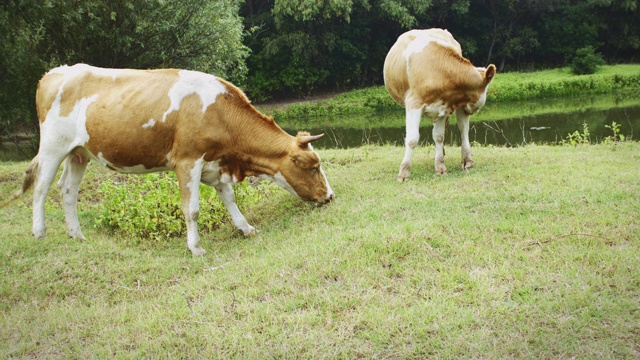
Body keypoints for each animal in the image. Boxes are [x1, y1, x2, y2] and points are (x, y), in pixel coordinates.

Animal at [2, 64, 336, 256]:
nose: (330, 196)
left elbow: (229, 198)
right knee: (41, 188)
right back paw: (39, 233)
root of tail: (53, 73)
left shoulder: (215, 162)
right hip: (52, 145)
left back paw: (77, 235)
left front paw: (246, 228)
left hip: (79, 151)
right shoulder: (187, 160)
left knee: (67, 190)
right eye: (314, 167)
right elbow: (192, 209)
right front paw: (196, 247)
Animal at [382, 28, 498, 181]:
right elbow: (412, 139)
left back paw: (466, 160)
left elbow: (439, 136)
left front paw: (440, 167)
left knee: (463, 130)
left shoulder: (444, 105)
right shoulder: (414, 104)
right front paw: (404, 172)